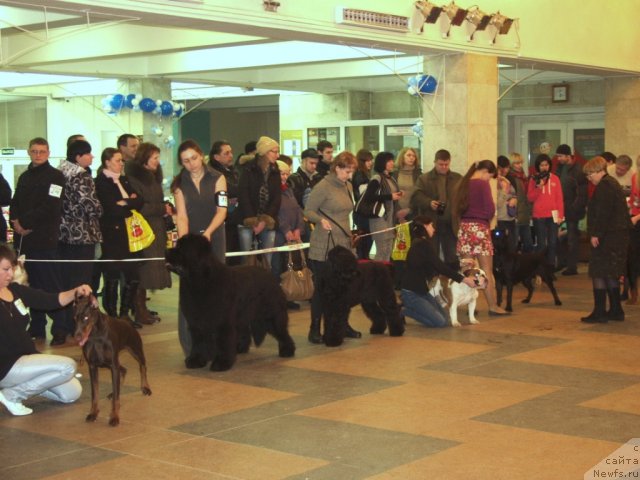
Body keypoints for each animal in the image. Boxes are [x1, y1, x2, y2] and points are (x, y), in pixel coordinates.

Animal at [73, 294, 152, 426]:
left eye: (86, 317)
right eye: (74, 318)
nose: (77, 338)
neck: (96, 336)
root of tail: (128, 324)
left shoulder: (113, 365)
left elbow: (116, 398)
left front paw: (114, 416)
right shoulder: (93, 367)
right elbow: (95, 394)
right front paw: (93, 413)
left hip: (135, 350)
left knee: (142, 366)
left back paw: (145, 387)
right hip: (110, 363)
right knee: (123, 370)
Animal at [165, 234, 296, 374]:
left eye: (181, 248)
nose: (166, 251)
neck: (200, 281)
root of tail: (271, 276)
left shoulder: (222, 322)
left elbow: (223, 341)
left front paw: (221, 363)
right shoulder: (196, 322)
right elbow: (198, 342)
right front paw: (196, 360)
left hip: (271, 315)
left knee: (282, 331)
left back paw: (287, 350)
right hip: (243, 315)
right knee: (245, 331)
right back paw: (240, 348)